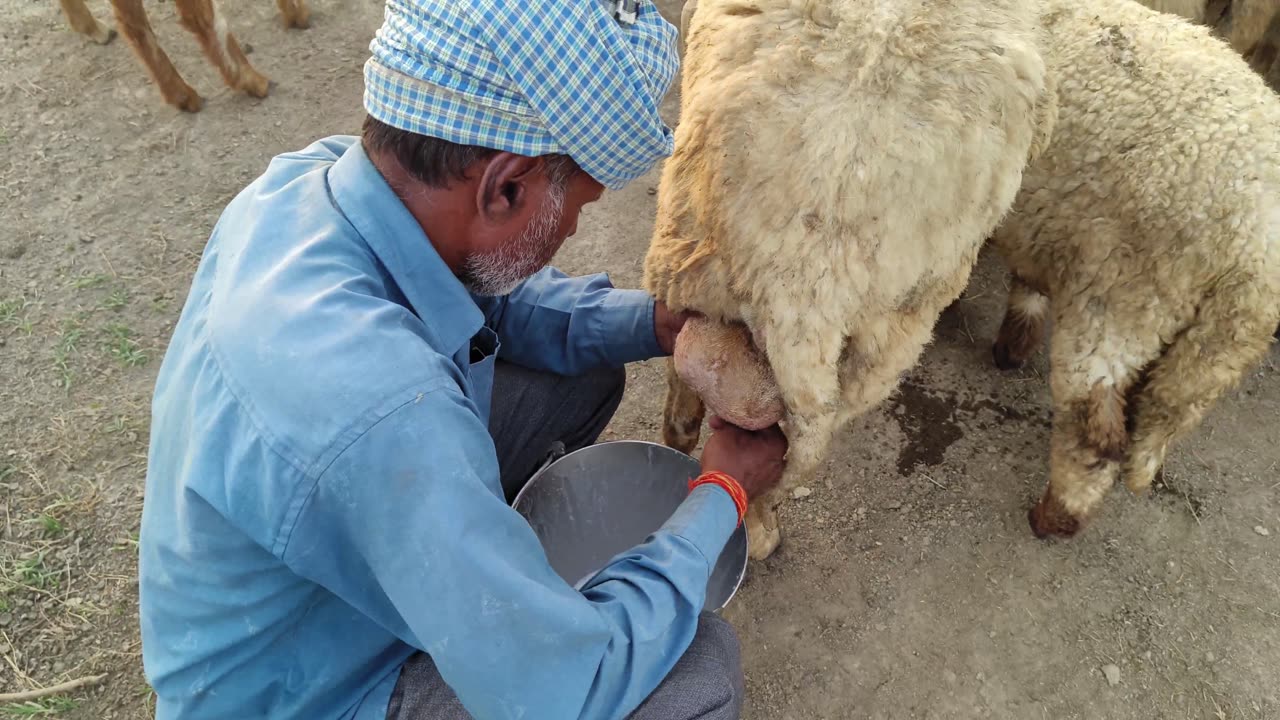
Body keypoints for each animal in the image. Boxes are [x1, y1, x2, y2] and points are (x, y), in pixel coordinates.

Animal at [640, 0, 1049, 561]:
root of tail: (800, 278)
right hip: (891, 334)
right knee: (799, 455)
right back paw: (762, 531)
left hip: (691, 273)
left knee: (693, 402)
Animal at [988, 0, 1280, 535]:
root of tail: (1254, 253)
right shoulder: (1046, 221)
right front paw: (1015, 339)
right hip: (1211, 353)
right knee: (1157, 417)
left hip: (1125, 293)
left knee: (1094, 428)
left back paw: (1055, 516)